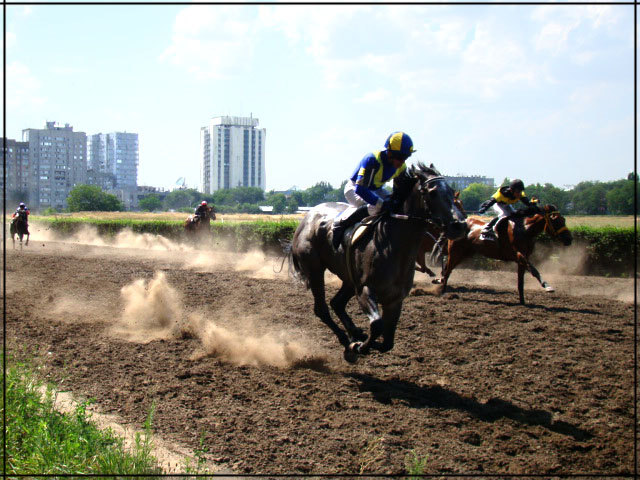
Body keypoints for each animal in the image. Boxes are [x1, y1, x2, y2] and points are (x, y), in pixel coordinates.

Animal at [292, 163, 468, 362]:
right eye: (432, 192)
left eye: (451, 191)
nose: (460, 225)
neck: (394, 245)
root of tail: (307, 218)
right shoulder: (365, 289)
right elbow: (377, 325)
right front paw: (358, 346)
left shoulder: (395, 298)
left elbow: (387, 342)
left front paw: (360, 340)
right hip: (315, 269)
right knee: (322, 309)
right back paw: (346, 339)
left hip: (349, 278)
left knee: (337, 303)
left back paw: (354, 333)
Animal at [438, 205, 572, 304]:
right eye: (555, 220)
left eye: (564, 219)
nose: (569, 239)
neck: (525, 230)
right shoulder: (519, 255)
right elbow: (534, 270)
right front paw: (547, 286)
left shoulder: (522, 259)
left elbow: (520, 281)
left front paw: (522, 301)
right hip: (455, 252)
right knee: (448, 270)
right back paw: (442, 291)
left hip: (465, 253)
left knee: (447, 269)